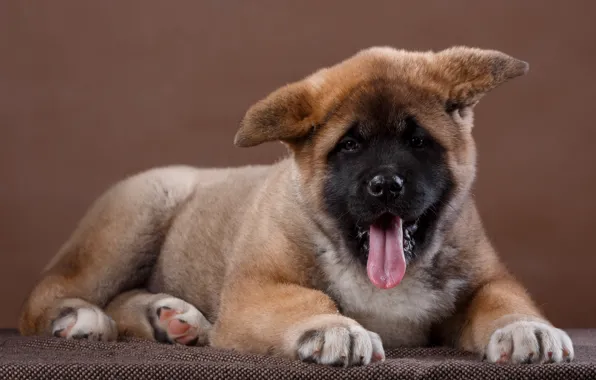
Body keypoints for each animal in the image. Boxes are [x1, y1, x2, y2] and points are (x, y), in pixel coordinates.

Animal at [17, 46, 572, 366]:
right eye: (349, 146)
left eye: (418, 141)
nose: (385, 186)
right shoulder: (258, 290)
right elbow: (308, 299)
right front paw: (334, 329)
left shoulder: (484, 279)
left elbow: (501, 299)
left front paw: (526, 328)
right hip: (139, 214)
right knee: (48, 296)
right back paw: (81, 318)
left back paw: (172, 319)